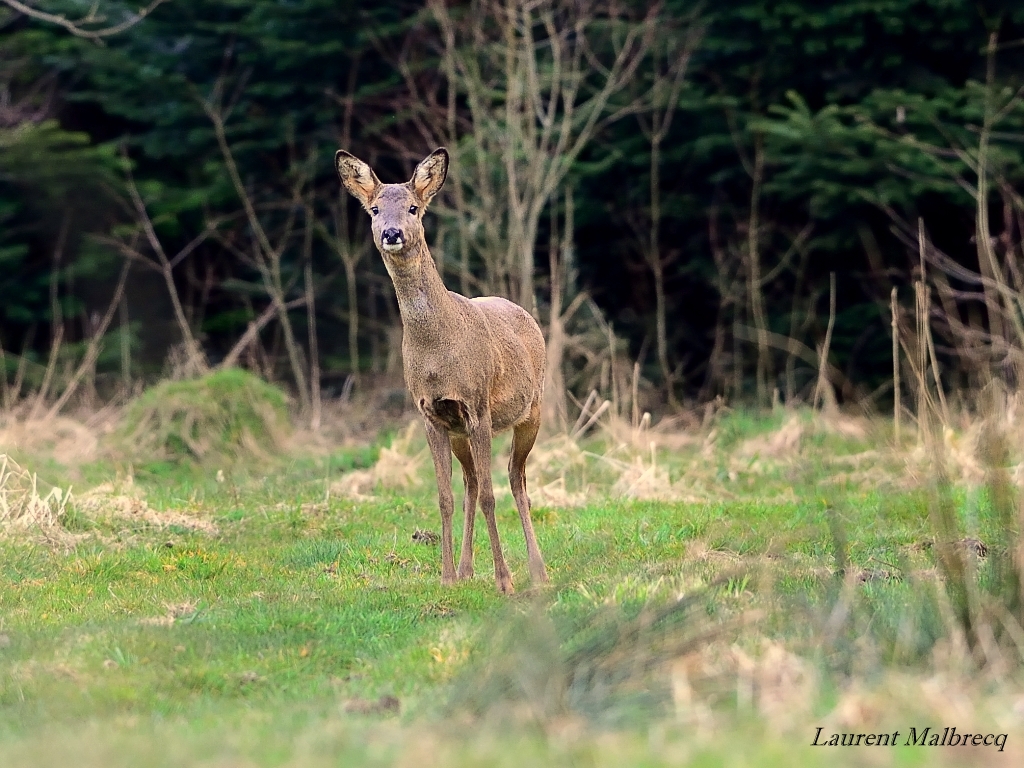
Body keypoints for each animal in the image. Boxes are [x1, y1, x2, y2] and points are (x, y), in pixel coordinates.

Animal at [335, 148, 548, 593]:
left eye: (414, 208)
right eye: (374, 209)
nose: (392, 233)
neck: (436, 352)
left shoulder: (478, 406)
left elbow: (491, 496)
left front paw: (504, 581)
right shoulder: (432, 414)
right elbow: (445, 497)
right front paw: (448, 577)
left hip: (532, 409)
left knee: (515, 480)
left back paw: (537, 571)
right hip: (459, 432)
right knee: (471, 483)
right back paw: (468, 570)